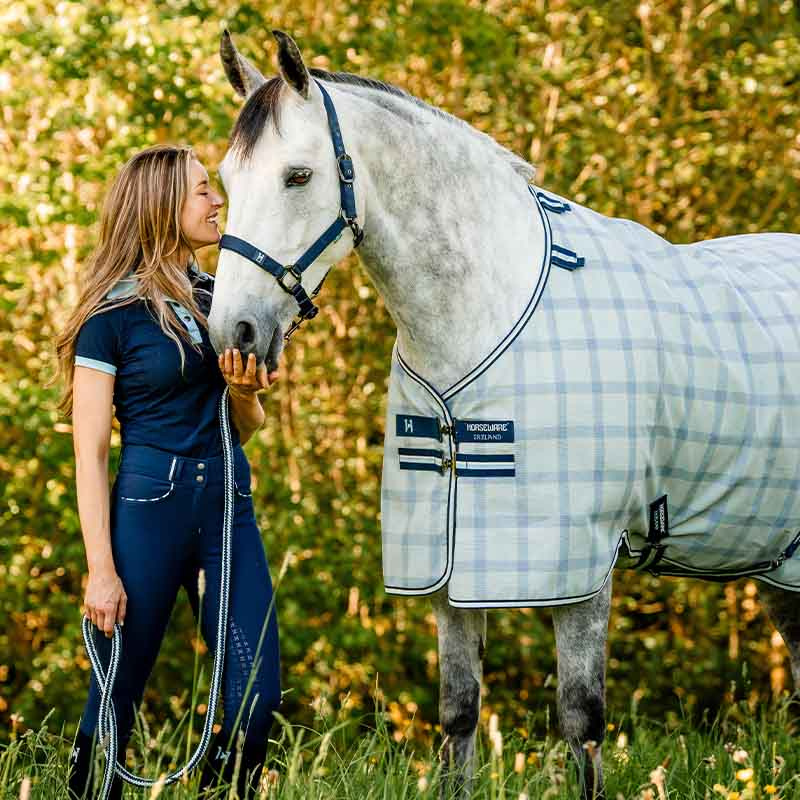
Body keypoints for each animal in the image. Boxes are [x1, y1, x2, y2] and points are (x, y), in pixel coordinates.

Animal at [206, 29, 800, 799]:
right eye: (226, 179)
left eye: (298, 176)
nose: (233, 333)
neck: (485, 308)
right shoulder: (449, 565)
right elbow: (459, 716)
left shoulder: (579, 567)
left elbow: (582, 723)